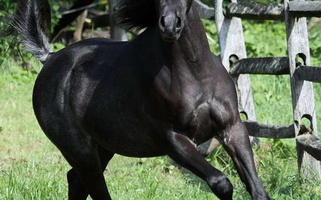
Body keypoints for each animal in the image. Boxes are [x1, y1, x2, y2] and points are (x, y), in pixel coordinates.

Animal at [7, 0, 268, 200]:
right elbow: (221, 182)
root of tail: (49, 58)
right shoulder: (173, 140)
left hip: (104, 146)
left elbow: (257, 189)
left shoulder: (232, 128)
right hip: (79, 151)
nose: (170, 25)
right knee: (93, 187)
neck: (196, 74)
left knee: (76, 181)